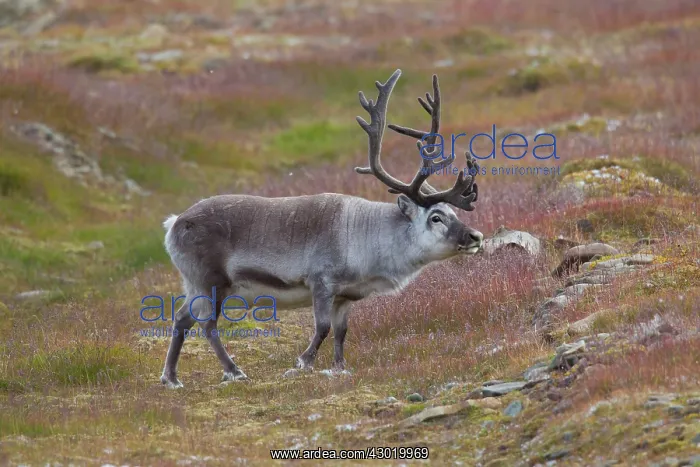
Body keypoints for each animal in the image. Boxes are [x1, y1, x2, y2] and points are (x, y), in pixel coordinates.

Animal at [160, 69, 484, 388]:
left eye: (453, 212)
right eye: (436, 217)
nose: (476, 236)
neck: (367, 238)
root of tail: (173, 223)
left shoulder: (345, 296)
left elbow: (341, 332)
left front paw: (340, 367)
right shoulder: (321, 282)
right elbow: (323, 327)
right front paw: (303, 362)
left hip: (194, 284)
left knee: (182, 318)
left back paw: (171, 378)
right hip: (211, 281)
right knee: (207, 324)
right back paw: (233, 370)